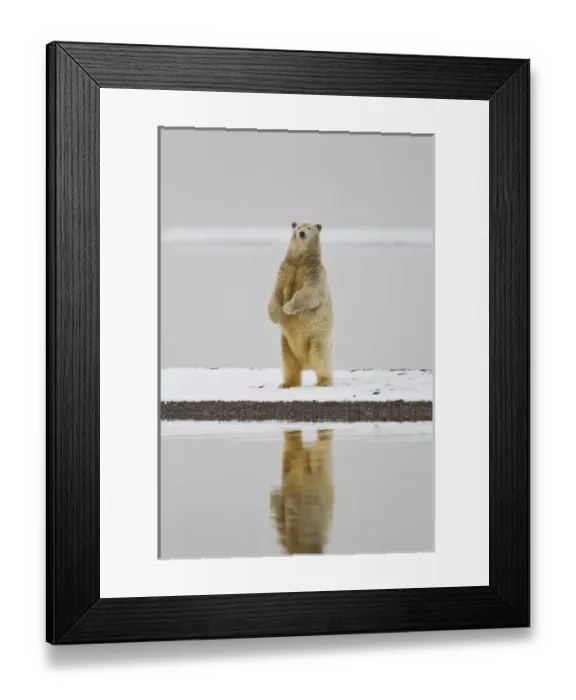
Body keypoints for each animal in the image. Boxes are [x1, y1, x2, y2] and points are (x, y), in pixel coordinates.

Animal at [267, 222, 334, 388]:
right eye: (298, 228)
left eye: (309, 228)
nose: (302, 233)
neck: (301, 260)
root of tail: (306, 363)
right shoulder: (286, 269)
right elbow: (276, 291)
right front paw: (275, 316)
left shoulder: (314, 272)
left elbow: (310, 291)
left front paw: (287, 308)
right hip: (286, 344)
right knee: (289, 364)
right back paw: (287, 383)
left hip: (318, 339)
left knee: (321, 357)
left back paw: (324, 381)